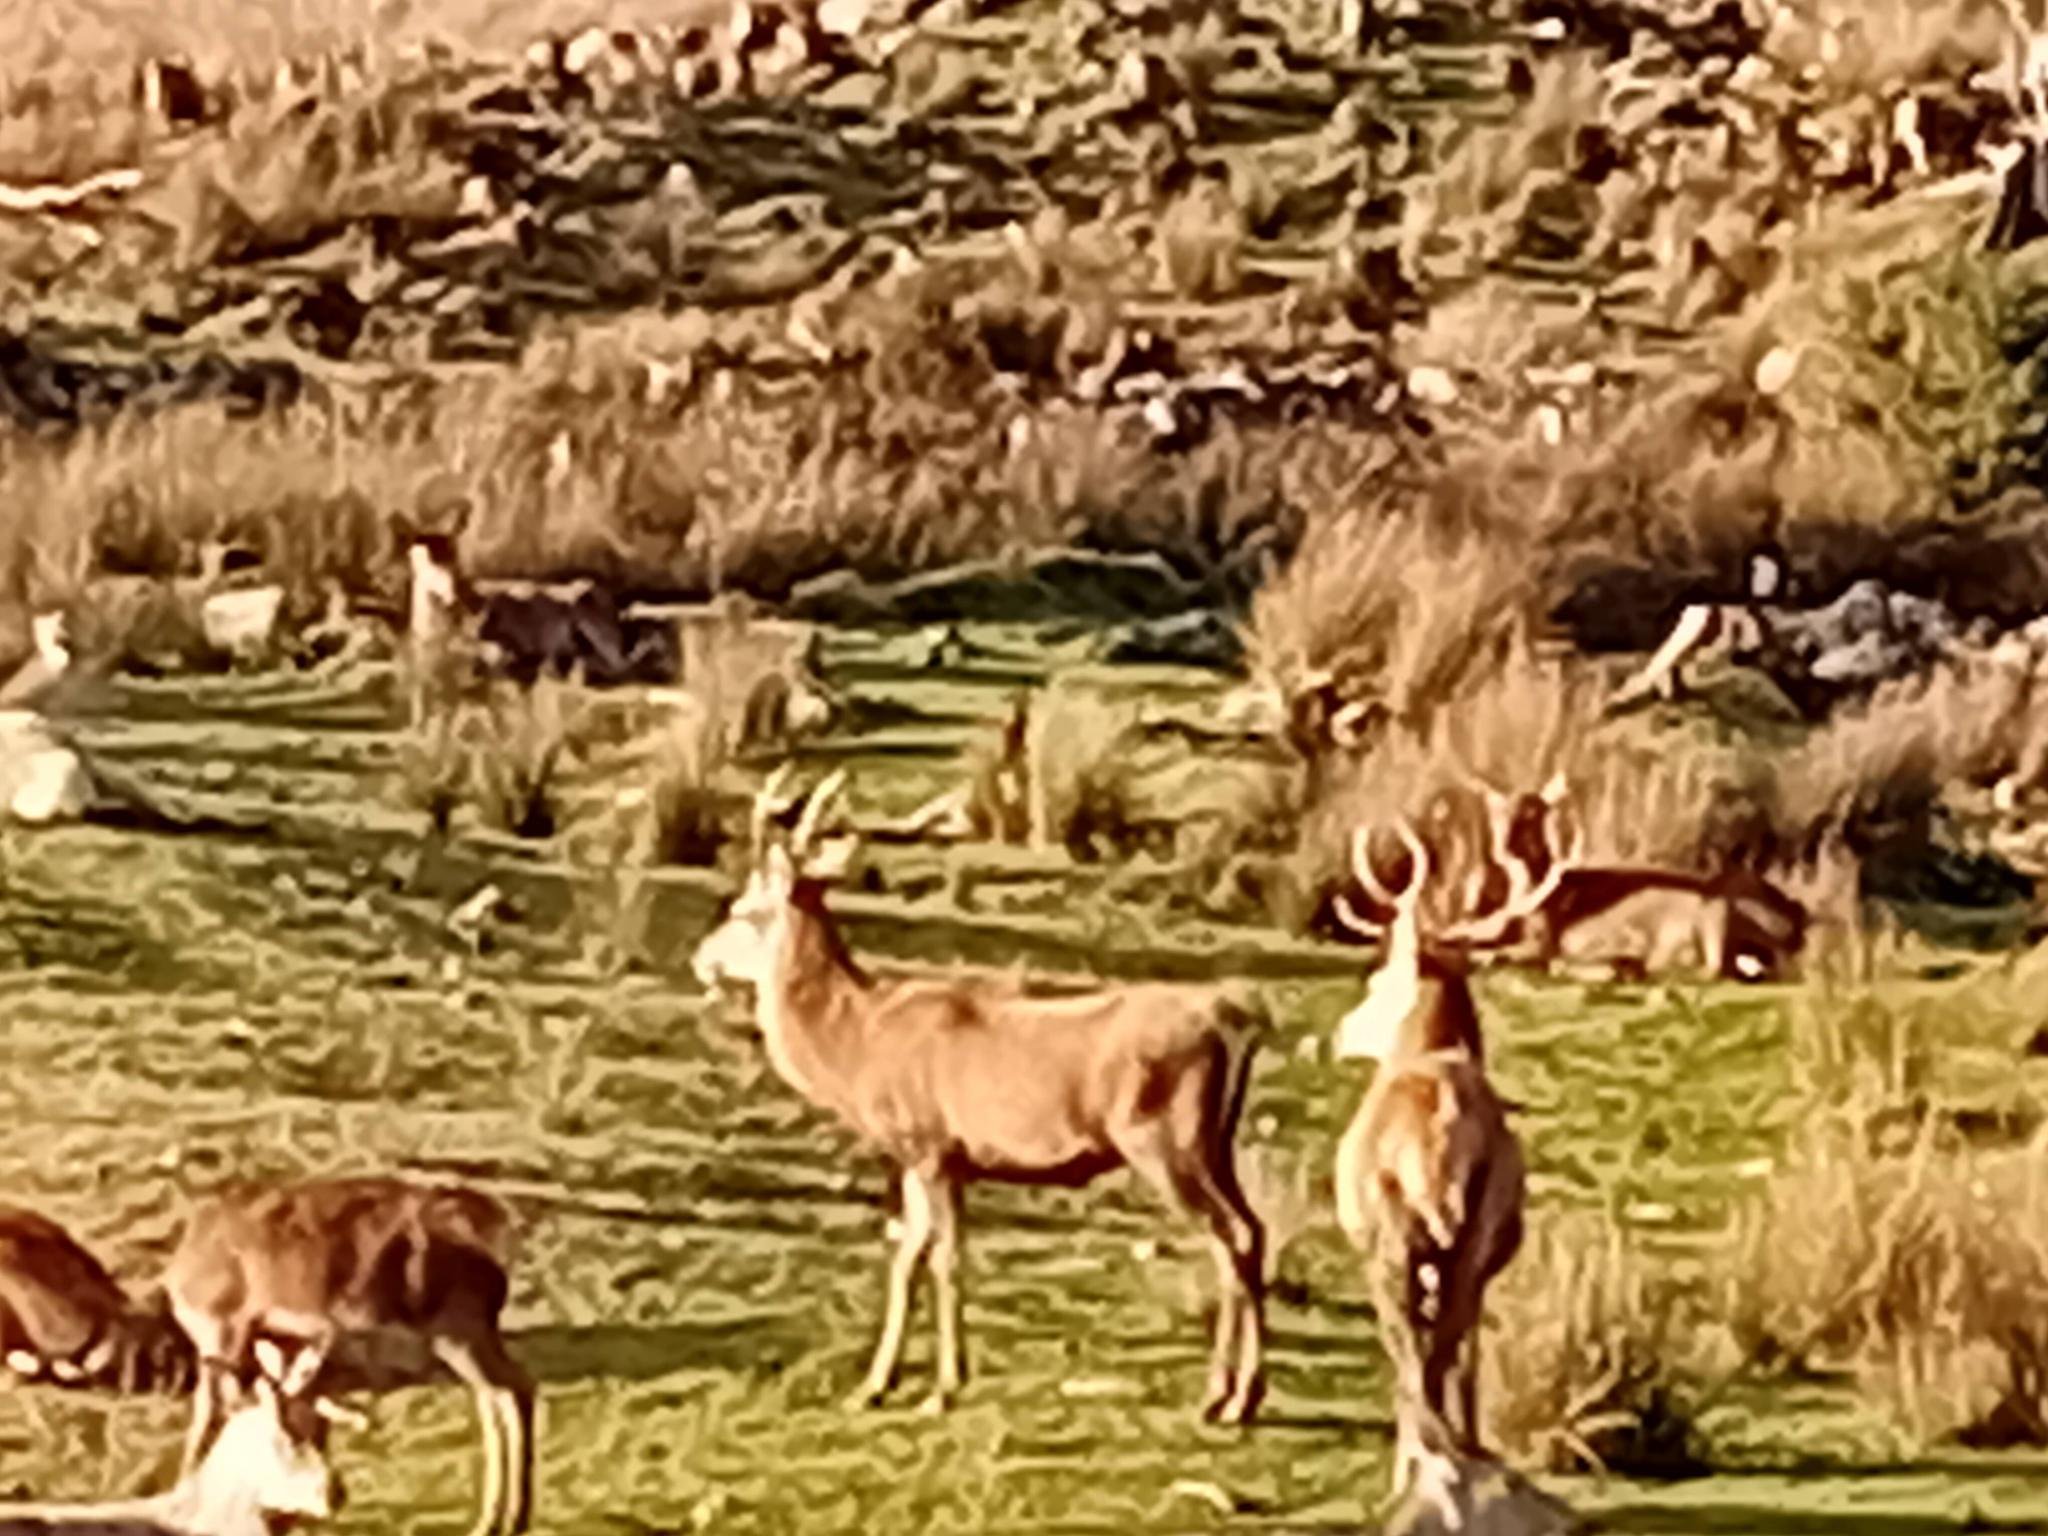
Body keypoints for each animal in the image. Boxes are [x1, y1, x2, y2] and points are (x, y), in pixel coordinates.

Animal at [160, 1175, 532, 1536]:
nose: (332, 1496)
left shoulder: (223, 1332)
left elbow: (209, 1416)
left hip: (454, 1327)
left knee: (509, 1389)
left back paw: (503, 1521)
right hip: (465, 1332)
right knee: (496, 1394)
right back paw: (499, 1520)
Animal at [690, 766, 1268, 1423]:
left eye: (744, 908)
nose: (701, 960)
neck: (857, 1043)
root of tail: (1234, 1020)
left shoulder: (931, 1144)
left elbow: (944, 1258)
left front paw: (943, 1388)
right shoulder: (924, 1156)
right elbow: (907, 1259)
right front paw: (874, 1385)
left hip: (1164, 1137)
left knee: (1228, 1236)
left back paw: (1224, 1396)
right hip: (1216, 1143)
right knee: (1253, 1231)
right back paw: (1241, 1393)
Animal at [1328, 804, 1572, 1506]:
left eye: (1379, 977)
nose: (1340, 1033)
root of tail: (1435, 1140)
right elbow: (1468, 1353)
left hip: (1392, 1248)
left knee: (1415, 1357)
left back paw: (1426, 1468)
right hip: (1468, 1243)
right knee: (1443, 1347)